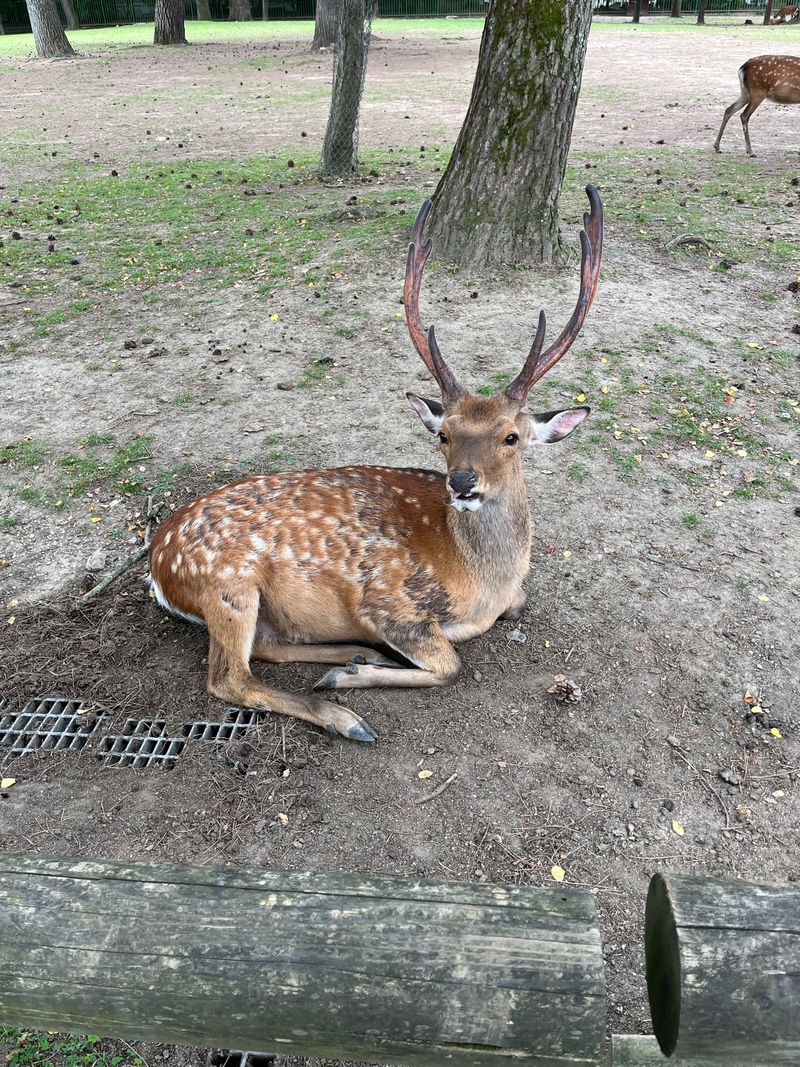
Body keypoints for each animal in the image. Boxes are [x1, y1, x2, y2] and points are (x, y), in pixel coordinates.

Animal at [148, 185, 603, 742]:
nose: (462, 481)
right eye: (444, 435)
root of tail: (156, 565)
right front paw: (353, 679)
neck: (484, 584)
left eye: (511, 437)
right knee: (229, 676)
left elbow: (512, 610)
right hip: (228, 582)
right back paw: (345, 712)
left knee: (264, 647)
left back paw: (357, 654)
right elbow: (450, 665)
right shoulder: (388, 601)